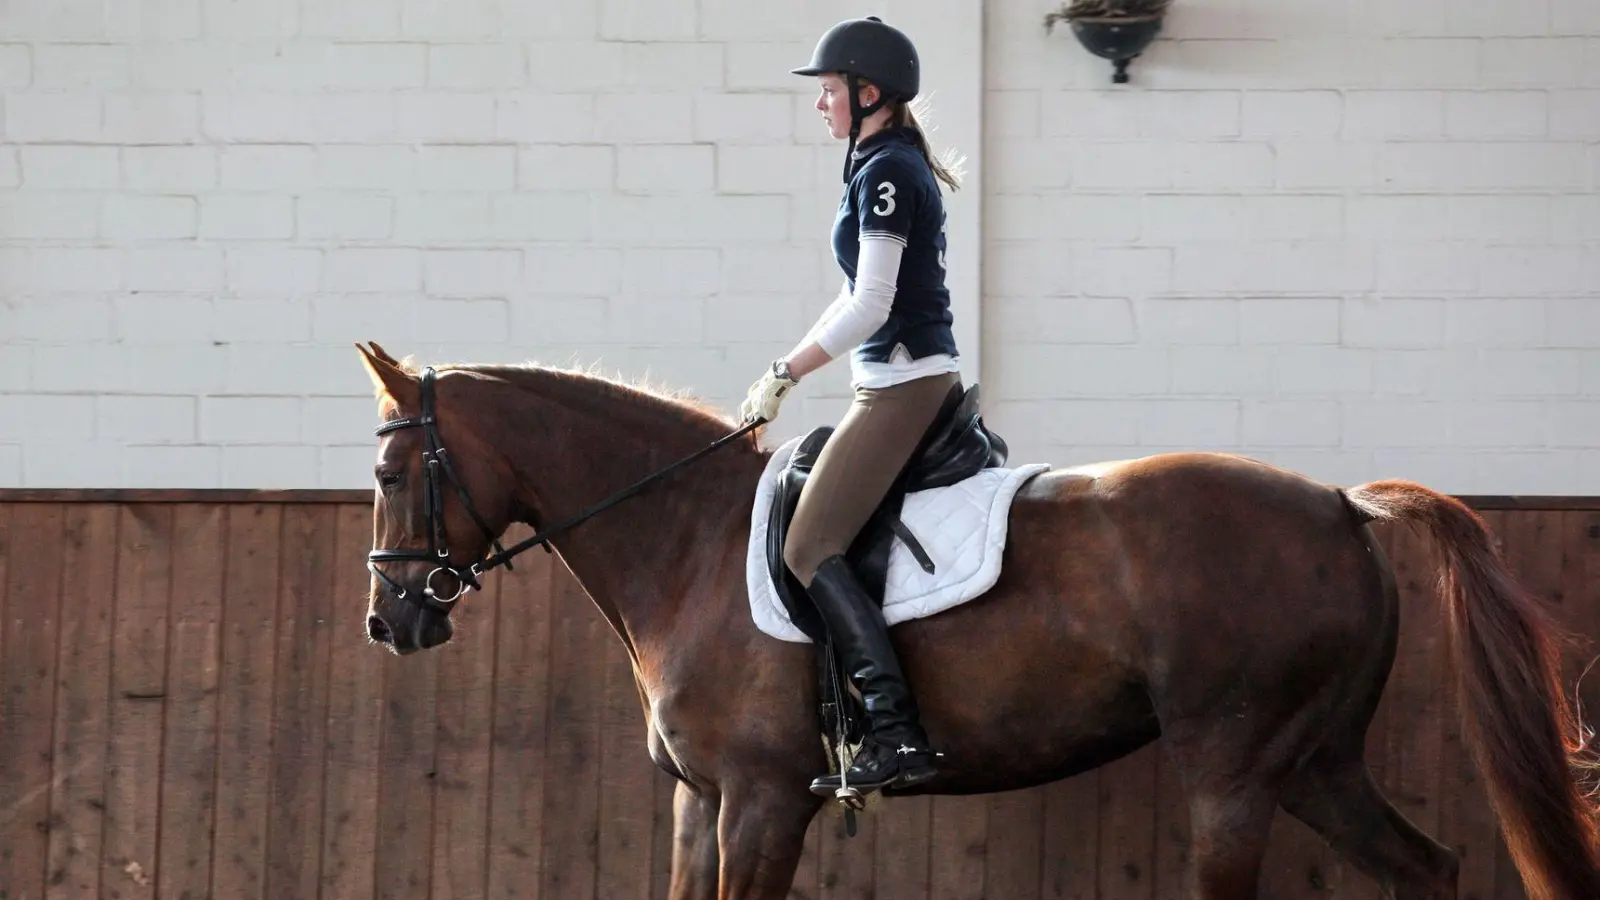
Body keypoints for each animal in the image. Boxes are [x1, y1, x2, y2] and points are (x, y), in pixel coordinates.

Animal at [356, 339, 1593, 890]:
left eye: (390, 471)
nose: (388, 623)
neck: (686, 540)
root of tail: (1340, 505)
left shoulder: (761, 801)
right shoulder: (699, 805)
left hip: (1235, 772)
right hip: (1316, 762)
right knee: (1427, 869)